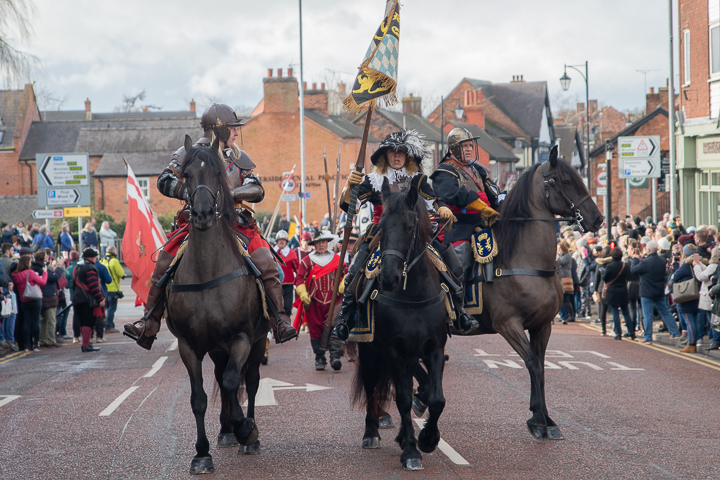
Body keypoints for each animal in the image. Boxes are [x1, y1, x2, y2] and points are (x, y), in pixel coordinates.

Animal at [165, 134, 268, 472]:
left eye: (216, 174)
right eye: (186, 175)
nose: (201, 215)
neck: (208, 271)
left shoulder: (242, 337)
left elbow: (235, 381)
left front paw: (246, 429)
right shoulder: (189, 344)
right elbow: (199, 397)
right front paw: (202, 453)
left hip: (257, 341)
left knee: (249, 380)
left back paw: (247, 435)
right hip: (217, 348)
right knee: (222, 381)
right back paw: (226, 431)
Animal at [352, 179, 448, 468]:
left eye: (409, 226)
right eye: (381, 226)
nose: (388, 278)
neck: (413, 295)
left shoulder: (434, 349)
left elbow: (437, 399)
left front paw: (428, 439)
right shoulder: (393, 350)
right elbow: (403, 399)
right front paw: (411, 452)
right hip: (370, 350)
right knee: (372, 388)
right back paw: (371, 433)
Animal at [414, 144, 604, 440]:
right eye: (565, 181)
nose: (597, 219)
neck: (524, 258)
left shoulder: (542, 326)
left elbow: (541, 368)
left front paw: (547, 419)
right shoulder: (509, 325)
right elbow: (533, 364)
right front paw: (537, 420)